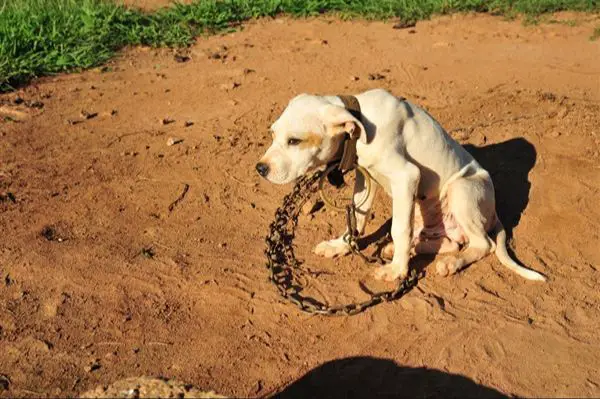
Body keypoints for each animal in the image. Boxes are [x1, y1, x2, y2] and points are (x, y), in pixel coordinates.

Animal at [255, 89, 548, 282]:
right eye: (273, 134)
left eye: (295, 141)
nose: (260, 169)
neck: (360, 124)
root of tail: (493, 213)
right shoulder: (366, 178)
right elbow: (357, 216)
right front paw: (341, 245)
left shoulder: (406, 177)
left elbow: (399, 229)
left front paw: (397, 271)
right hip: (422, 208)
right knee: (451, 242)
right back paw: (409, 250)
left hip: (461, 191)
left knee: (483, 244)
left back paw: (450, 263)